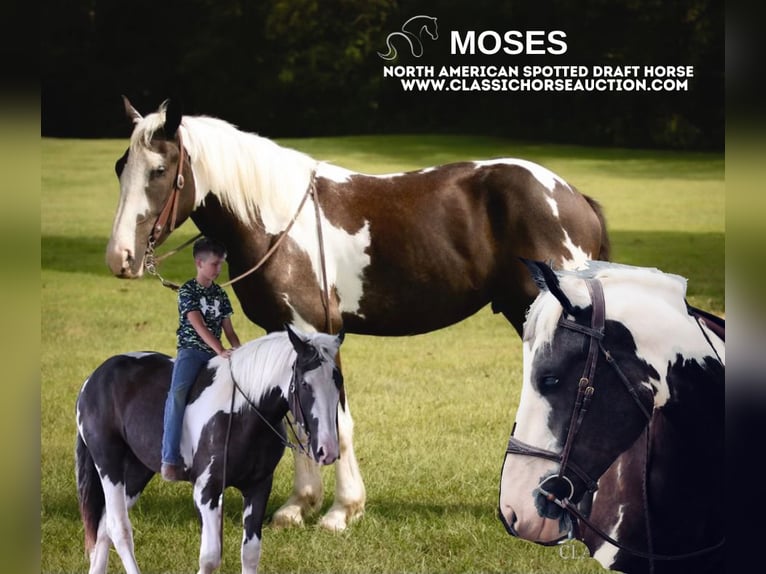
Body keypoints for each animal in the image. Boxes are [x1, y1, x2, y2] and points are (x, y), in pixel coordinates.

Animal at [75, 326, 344, 574]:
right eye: (304, 383)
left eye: (338, 382)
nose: (328, 450)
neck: (244, 412)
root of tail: (93, 379)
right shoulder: (206, 491)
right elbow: (210, 558)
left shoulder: (258, 487)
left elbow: (250, 554)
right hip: (108, 463)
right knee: (118, 528)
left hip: (136, 472)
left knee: (103, 526)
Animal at [106, 97, 612, 532]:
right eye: (119, 167)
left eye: (159, 169)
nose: (120, 257)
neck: (275, 221)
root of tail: (574, 197)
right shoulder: (285, 333)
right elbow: (297, 417)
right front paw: (297, 507)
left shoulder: (317, 331)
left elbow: (337, 421)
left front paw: (340, 512)